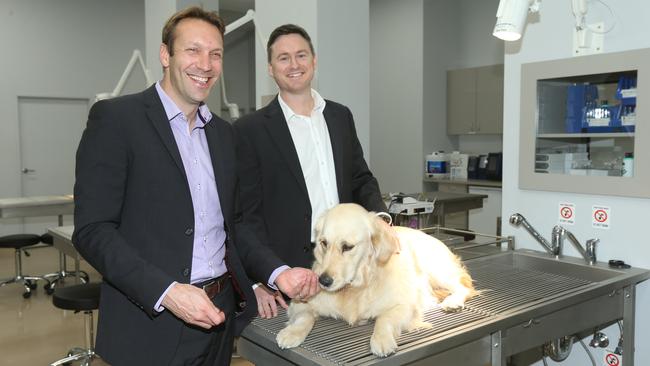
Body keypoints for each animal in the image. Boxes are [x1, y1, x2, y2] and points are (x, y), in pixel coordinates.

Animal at [274, 202, 476, 356]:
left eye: (347, 247)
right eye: (324, 243)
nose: (323, 281)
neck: (355, 287)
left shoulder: (405, 305)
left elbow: (384, 319)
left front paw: (381, 339)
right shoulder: (300, 303)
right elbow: (305, 317)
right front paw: (291, 333)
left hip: (437, 271)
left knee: (464, 287)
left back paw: (453, 302)